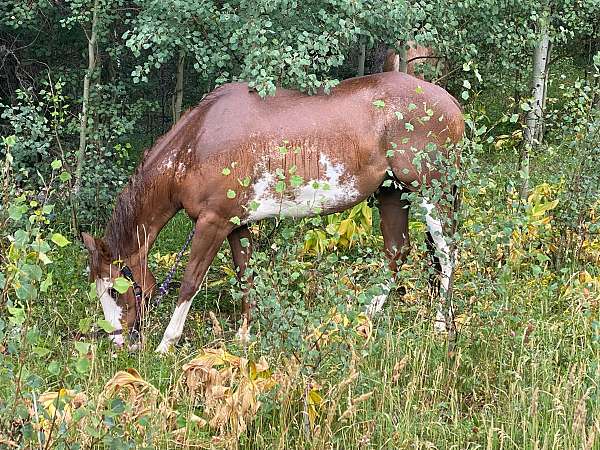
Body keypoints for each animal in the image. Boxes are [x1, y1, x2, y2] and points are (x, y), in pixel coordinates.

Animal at [81, 70, 464, 354]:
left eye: (113, 289)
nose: (119, 342)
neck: (198, 142)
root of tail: (450, 104)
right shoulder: (234, 224)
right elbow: (245, 275)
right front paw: (244, 335)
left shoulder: (212, 223)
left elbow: (189, 282)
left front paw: (166, 344)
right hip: (391, 193)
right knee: (397, 252)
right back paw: (365, 317)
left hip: (431, 191)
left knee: (446, 254)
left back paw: (440, 326)